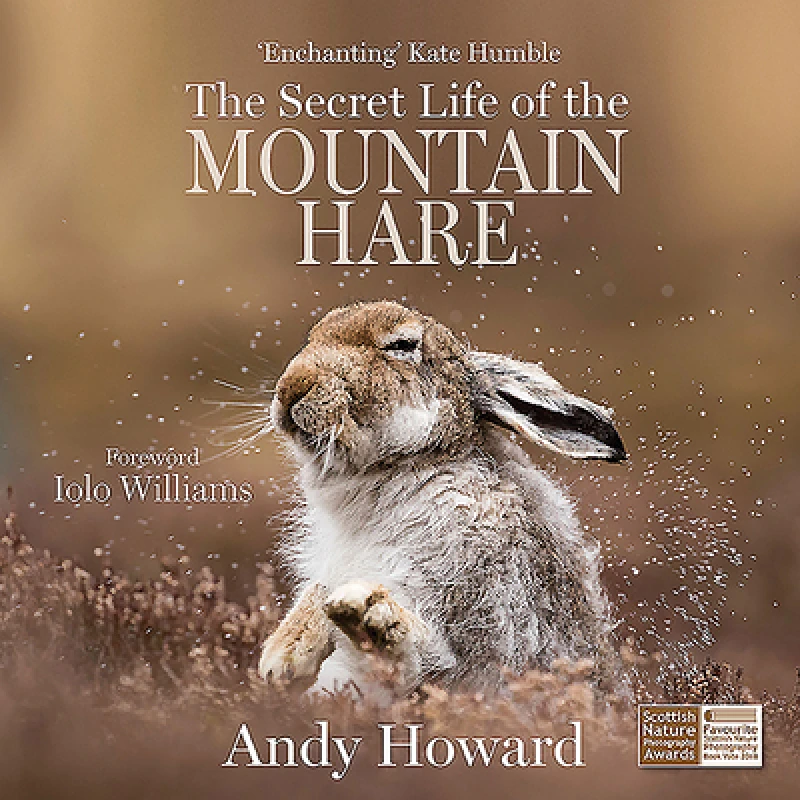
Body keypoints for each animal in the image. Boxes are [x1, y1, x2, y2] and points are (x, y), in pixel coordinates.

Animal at [257, 300, 626, 695]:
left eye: (402, 345)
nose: (291, 389)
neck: (412, 466)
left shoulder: (481, 607)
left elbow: (425, 662)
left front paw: (373, 617)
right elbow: (319, 589)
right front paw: (284, 655)